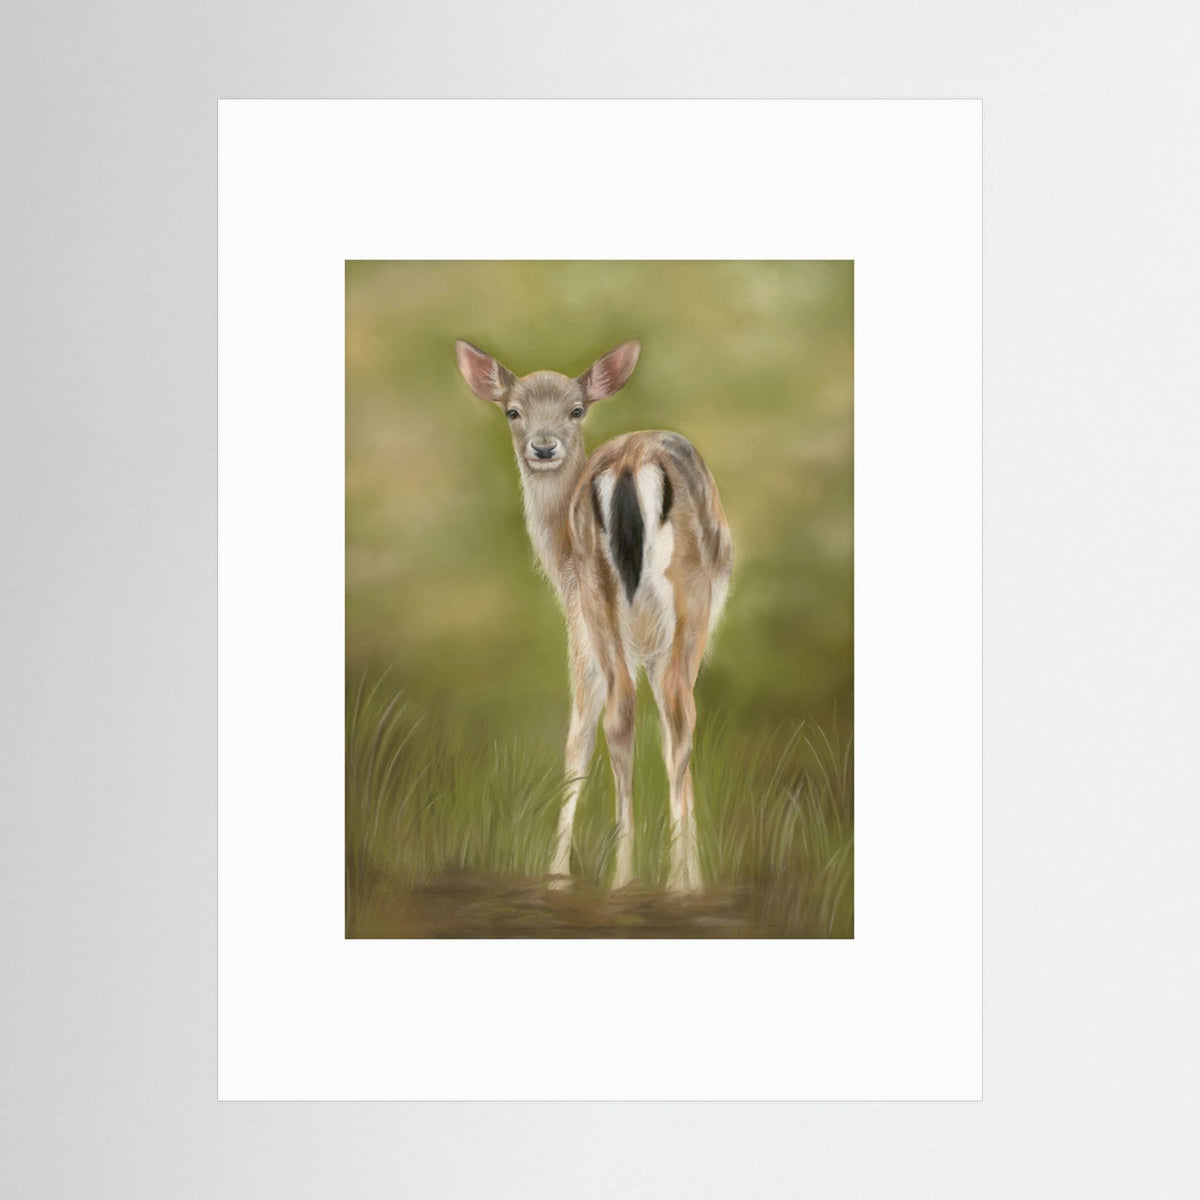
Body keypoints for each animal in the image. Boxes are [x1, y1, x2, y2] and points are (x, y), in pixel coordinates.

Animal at [454, 339, 733, 892]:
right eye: (512, 411)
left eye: (576, 410)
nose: (543, 447)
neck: (557, 558)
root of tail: (628, 465)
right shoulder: (591, 630)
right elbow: (589, 736)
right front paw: (560, 872)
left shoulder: (590, 625)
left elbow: (585, 734)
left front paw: (558, 873)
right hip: (672, 601)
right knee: (667, 713)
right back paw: (659, 882)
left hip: (607, 597)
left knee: (634, 712)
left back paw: (632, 878)